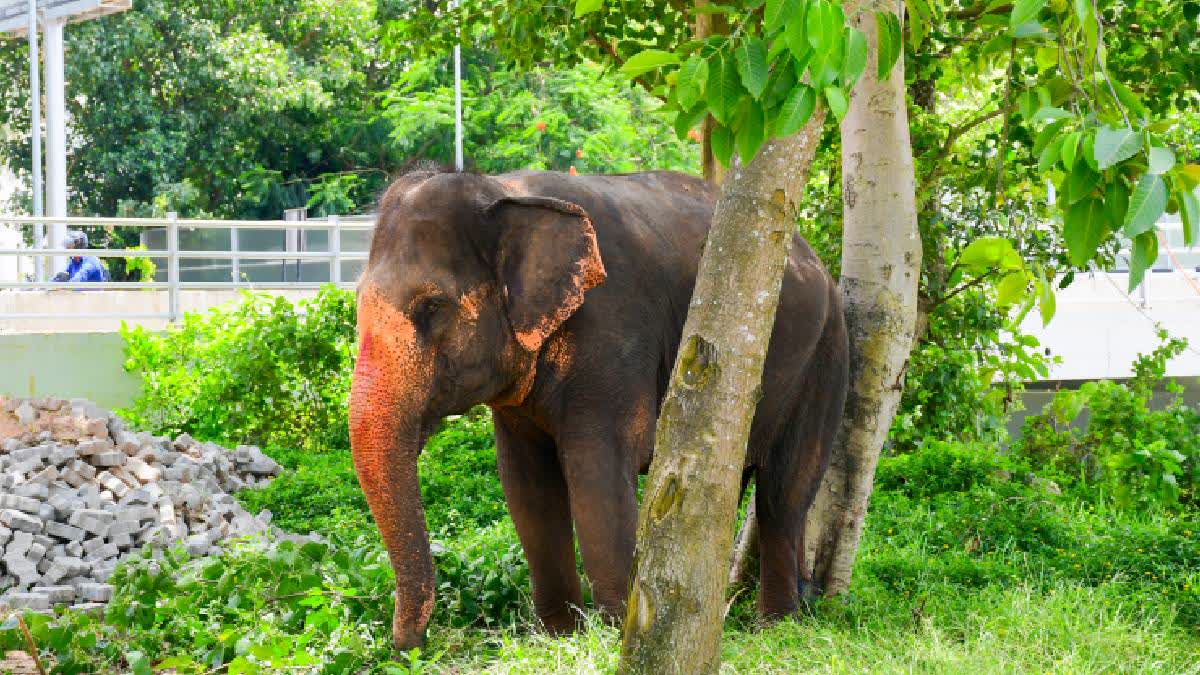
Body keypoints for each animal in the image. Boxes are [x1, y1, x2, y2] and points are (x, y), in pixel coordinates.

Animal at [349, 168, 849, 650]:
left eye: (433, 306)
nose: (410, 647)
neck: (500, 188)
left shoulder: (611, 335)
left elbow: (597, 471)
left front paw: (613, 634)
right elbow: (526, 484)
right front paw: (559, 636)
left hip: (825, 355)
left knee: (784, 493)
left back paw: (777, 625)